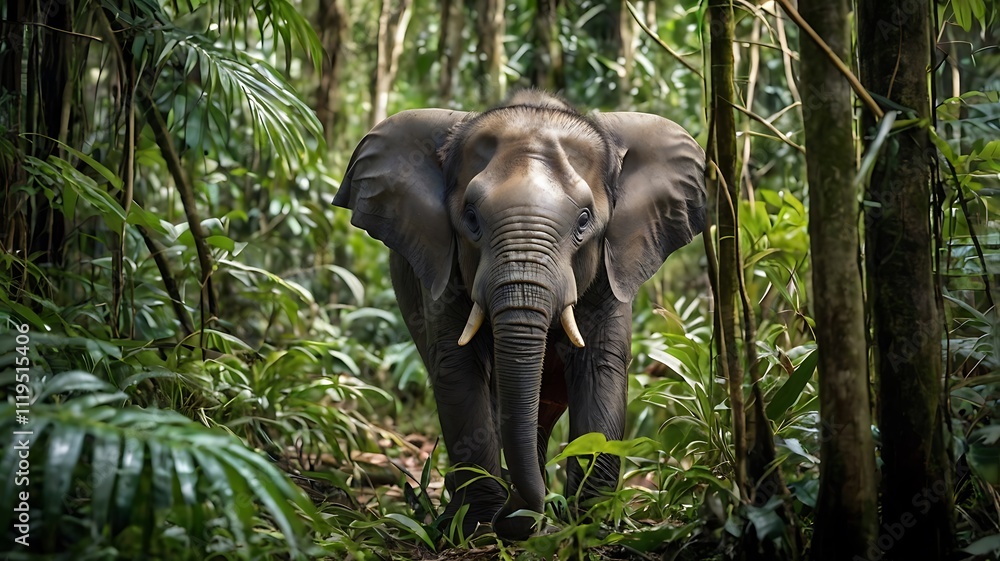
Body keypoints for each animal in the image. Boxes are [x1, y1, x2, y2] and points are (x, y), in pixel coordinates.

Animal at [333, 90, 706, 540]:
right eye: (471, 217)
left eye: (584, 220)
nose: (518, 512)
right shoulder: (443, 264)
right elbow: (457, 367)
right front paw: (476, 527)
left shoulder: (614, 266)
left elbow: (600, 366)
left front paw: (591, 526)